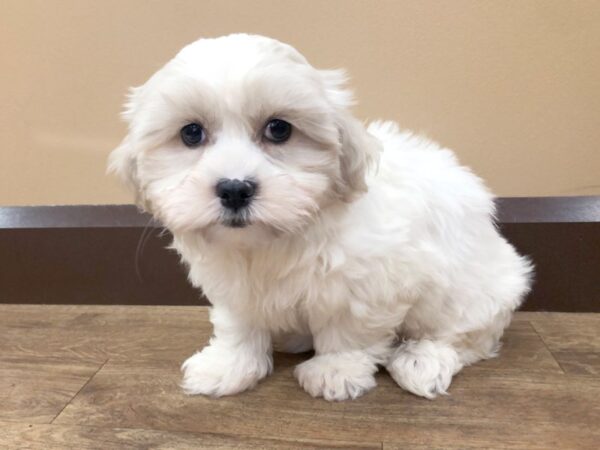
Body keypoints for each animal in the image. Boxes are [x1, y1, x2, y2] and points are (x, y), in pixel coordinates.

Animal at [110, 35, 532, 400]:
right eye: (191, 134)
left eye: (279, 129)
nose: (234, 188)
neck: (278, 238)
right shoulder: (234, 285)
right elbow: (238, 323)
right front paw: (229, 366)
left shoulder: (373, 282)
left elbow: (349, 329)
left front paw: (336, 370)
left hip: (474, 293)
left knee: (465, 338)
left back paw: (422, 360)